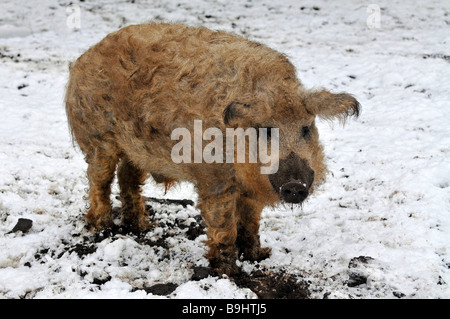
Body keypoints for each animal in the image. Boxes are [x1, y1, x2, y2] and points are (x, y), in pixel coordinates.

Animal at [65, 23, 360, 276]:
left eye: (306, 129)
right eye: (265, 130)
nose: (295, 185)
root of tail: (82, 59)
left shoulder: (251, 190)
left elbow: (251, 221)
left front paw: (259, 255)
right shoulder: (213, 178)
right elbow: (223, 225)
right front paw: (228, 272)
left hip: (135, 150)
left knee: (128, 179)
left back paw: (142, 225)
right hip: (97, 138)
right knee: (99, 180)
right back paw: (101, 228)